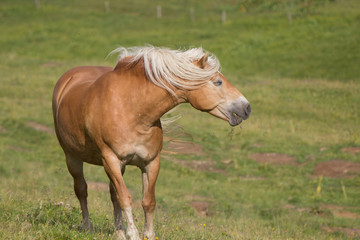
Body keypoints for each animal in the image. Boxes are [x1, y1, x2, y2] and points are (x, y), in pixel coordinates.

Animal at [52, 46, 252, 239]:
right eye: (217, 82)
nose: (247, 107)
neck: (131, 110)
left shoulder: (151, 162)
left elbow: (148, 201)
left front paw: (147, 234)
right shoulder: (111, 160)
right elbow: (125, 198)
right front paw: (133, 234)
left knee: (112, 194)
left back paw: (118, 231)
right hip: (73, 157)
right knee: (82, 189)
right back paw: (88, 226)